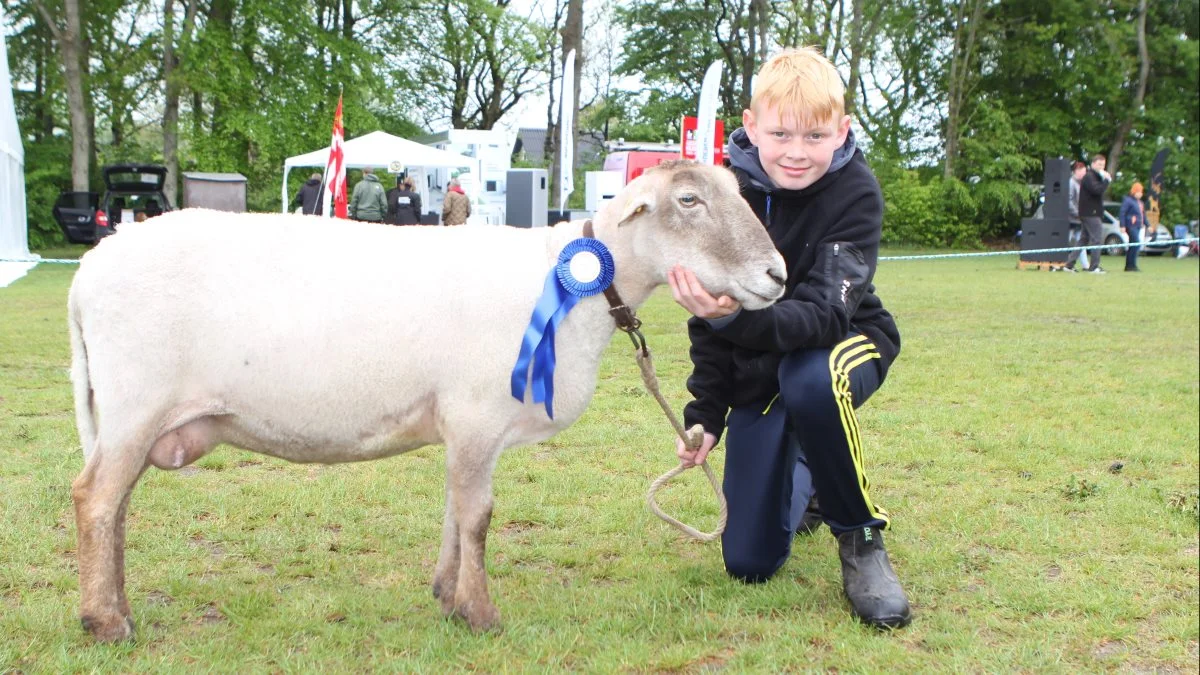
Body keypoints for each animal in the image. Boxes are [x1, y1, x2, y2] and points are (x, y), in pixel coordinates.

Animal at [68, 159, 787, 638]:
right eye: (689, 199)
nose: (777, 274)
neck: (575, 284)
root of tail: (89, 270)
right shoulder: (476, 414)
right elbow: (477, 517)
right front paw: (480, 612)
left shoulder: (467, 425)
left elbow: (455, 510)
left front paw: (447, 595)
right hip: (136, 403)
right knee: (96, 499)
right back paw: (105, 621)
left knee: (115, 506)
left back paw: (117, 605)